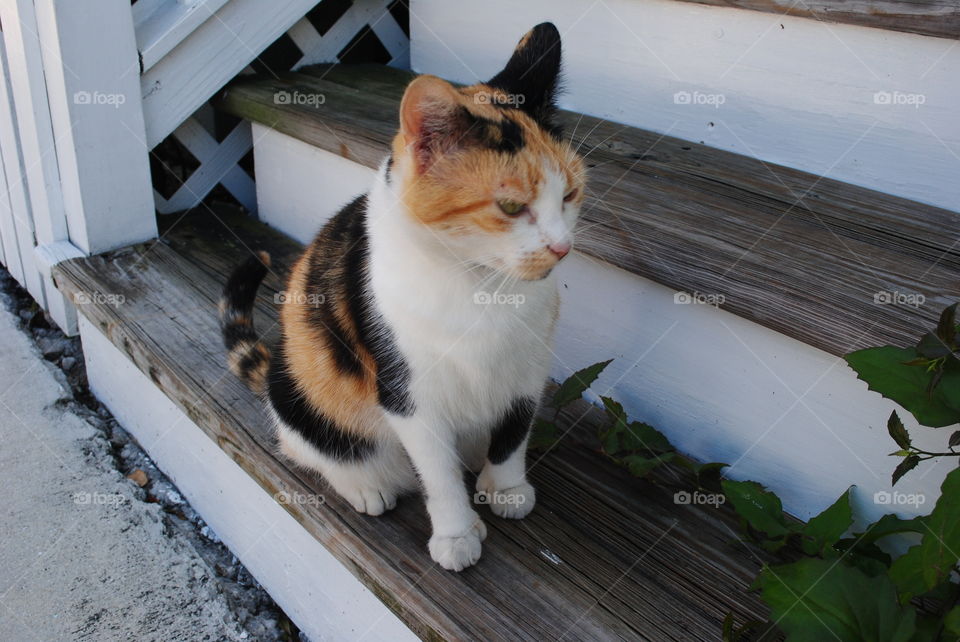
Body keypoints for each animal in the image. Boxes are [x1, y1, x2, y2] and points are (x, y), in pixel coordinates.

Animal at [221, 22, 584, 568]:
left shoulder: (528, 368)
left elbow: (513, 434)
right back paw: (366, 487)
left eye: (569, 195)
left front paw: (505, 487)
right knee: (309, 448)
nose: (562, 248)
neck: (481, 288)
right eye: (510, 206)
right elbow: (437, 472)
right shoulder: (406, 390)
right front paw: (457, 533)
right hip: (299, 390)